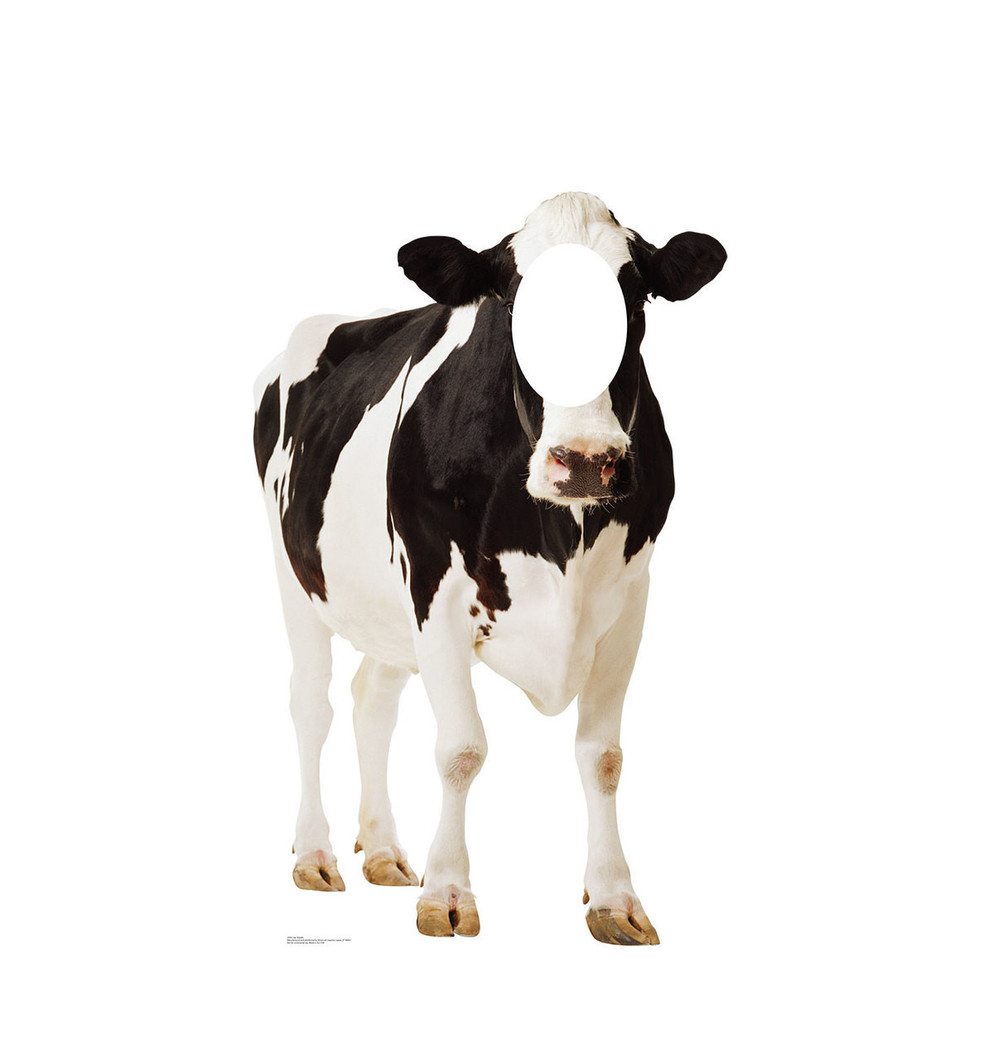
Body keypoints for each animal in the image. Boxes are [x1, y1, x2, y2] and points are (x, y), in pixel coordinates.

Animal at [253, 192, 726, 944]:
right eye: (511, 302)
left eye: (635, 299)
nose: (586, 460)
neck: (559, 532)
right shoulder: (435, 591)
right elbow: (461, 749)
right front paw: (446, 893)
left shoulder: (629, 600)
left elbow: (603, 756)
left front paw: (614, 898)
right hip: (294, 571)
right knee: (310, 703)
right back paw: (315, 855)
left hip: (385, 608)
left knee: (372, 701)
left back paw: (382, 850)